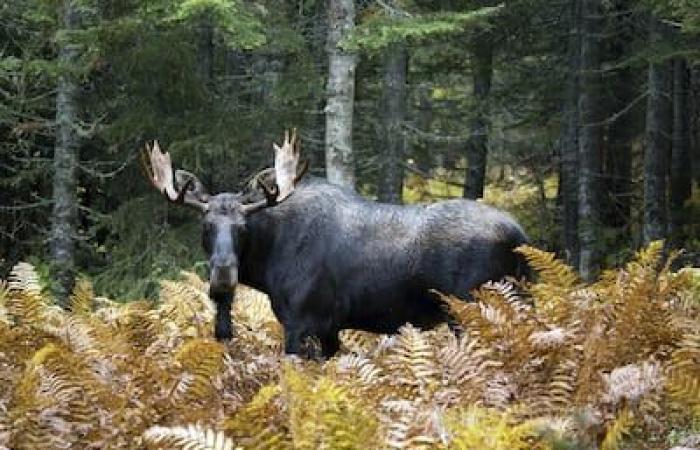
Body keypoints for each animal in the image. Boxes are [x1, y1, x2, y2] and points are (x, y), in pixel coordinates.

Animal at [142, 131, 528, 358]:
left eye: (242, 228)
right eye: (206, 226)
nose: (223, 275)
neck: (267, 269)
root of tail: (521, 237)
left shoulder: (301, 322)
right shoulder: (329, 330)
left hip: (472, 309)